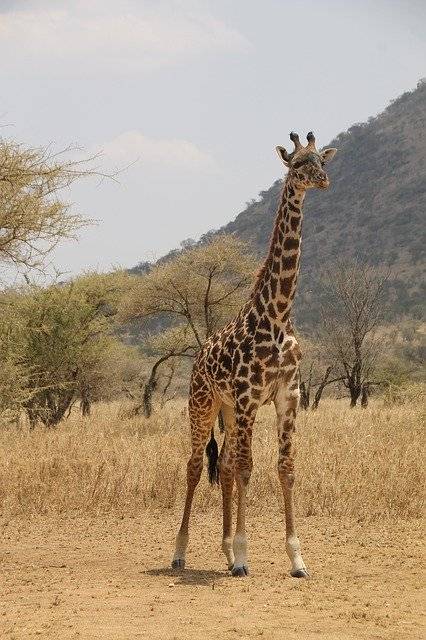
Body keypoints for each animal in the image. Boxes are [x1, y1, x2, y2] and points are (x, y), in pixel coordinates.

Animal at [172, 130, 336, 576]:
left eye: (322, 160)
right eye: (297, 164)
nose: (322, 181)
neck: (278, 315)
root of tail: (197, 359)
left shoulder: (287, 395)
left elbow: (285, 469)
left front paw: (296, 559)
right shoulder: (248, 398)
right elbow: (248, 469)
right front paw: (246, 557)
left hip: (228, 410)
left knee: (225, 466)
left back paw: (226, 552)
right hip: (203, 404)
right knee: (196, 466)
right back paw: (179, 552)